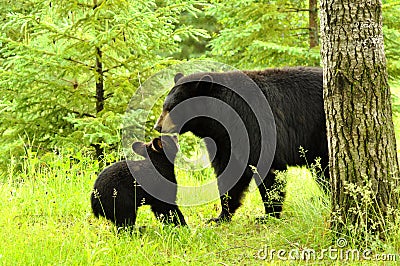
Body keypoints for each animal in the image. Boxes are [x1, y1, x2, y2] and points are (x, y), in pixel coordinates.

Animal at [154, 66, 328, 222]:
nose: (158, 127)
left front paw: (269, 215)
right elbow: (229, 171)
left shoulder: (253, 125)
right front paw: (220, 216)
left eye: (172, 108)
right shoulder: (223, 139)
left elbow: (267, 168)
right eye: (164, 106)